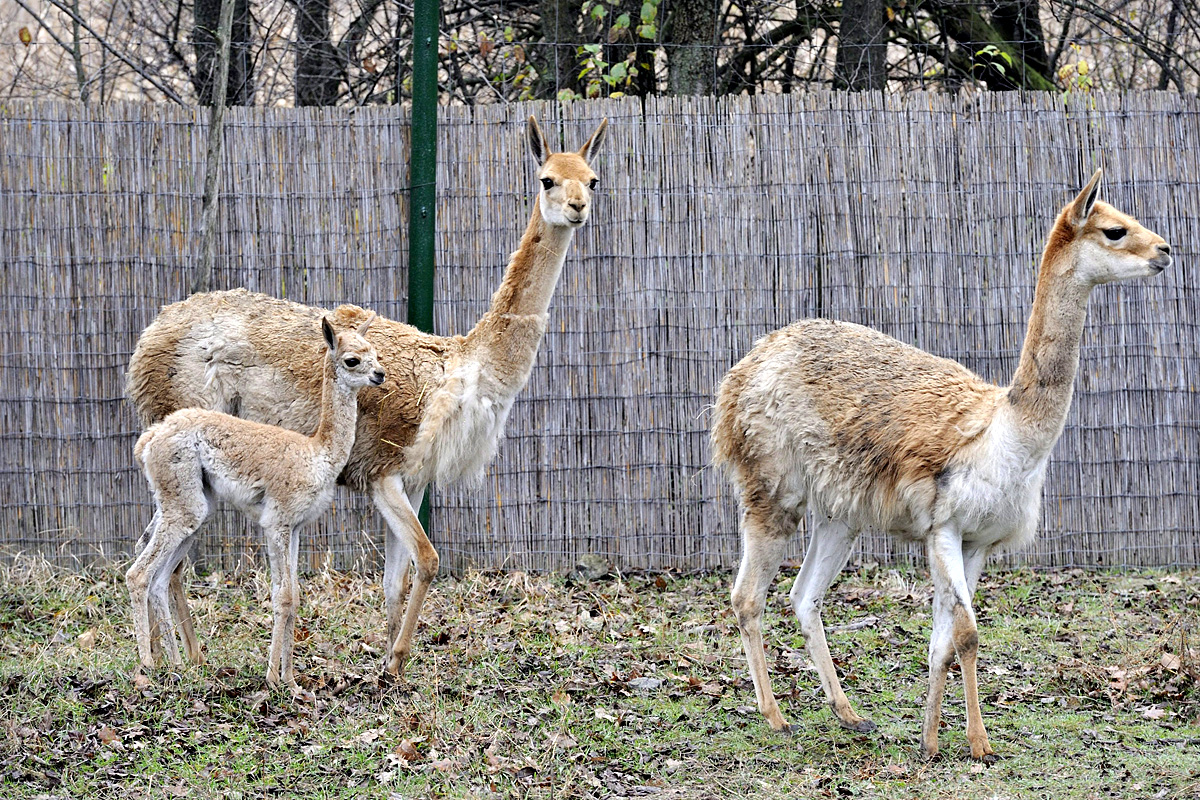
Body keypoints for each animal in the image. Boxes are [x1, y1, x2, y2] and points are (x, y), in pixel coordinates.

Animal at [710, 172, 1171, 762]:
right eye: (1115, 230)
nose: (1164, 250)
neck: (1009, 436)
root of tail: (747, 364)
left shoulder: (977, 542)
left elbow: (944, 641)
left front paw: (929, 740)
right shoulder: (944, 527)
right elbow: (968, 635)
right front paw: (978, 743)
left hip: (841, 514)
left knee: (804, 597)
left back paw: (849, 714)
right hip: (771, 485)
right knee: (747, 597)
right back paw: (776, 717)